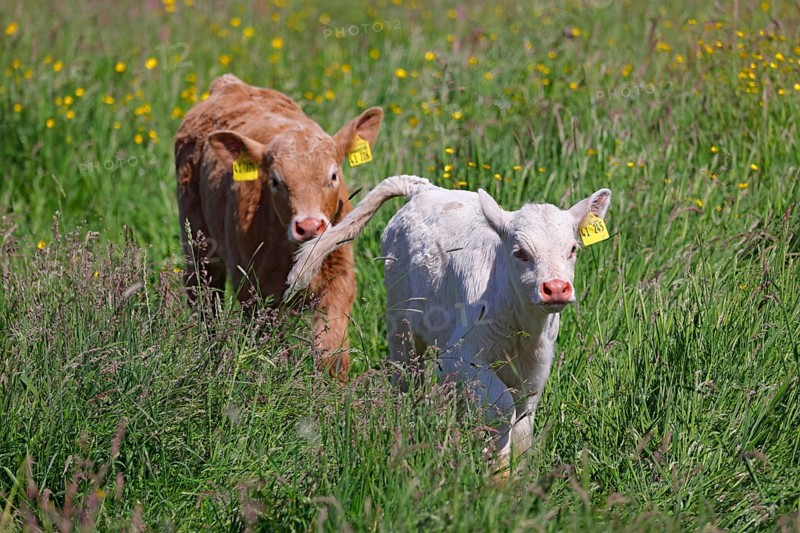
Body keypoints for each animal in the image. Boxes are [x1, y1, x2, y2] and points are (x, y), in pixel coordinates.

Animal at [174, 73, 383, 379]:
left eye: (333, 176)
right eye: (275, 181)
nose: (309, 226)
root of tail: (230, 84)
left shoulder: (339, 279)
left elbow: (331, 353)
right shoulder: (252, 289)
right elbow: (268, 347)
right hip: (197, 242)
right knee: (203, 296)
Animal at [287, 175, 611, 462]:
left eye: (572, 249)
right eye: (520, 253)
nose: (555, 288)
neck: (520, 322)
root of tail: (425, 189)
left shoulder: (535, 367)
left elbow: (522, 424)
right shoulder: (459, 358)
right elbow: (502, 406)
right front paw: (497, 468)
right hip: (401, 323)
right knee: (407, 378)